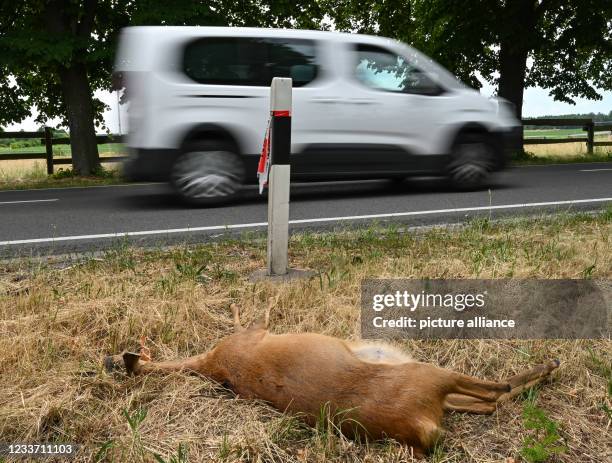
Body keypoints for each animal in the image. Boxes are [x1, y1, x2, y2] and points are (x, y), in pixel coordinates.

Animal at [105, 300, 560, 456]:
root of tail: (419, 426)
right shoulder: (251, 334)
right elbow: (255, 312)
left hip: (437, 393)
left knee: (490, 402)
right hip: (429, 375)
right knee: (496, 392)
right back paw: (547, 366)